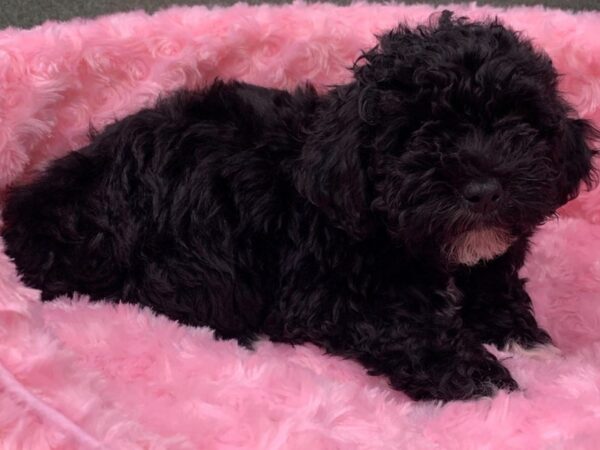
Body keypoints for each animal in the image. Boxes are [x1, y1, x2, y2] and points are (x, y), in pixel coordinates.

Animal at [2, 13, 596, 400]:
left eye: (519, 124)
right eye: (416, 135)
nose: (483, 187)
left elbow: (495, 286)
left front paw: (525, 338)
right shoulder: (326, 287)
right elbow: (406, 321)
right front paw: (483, 379)